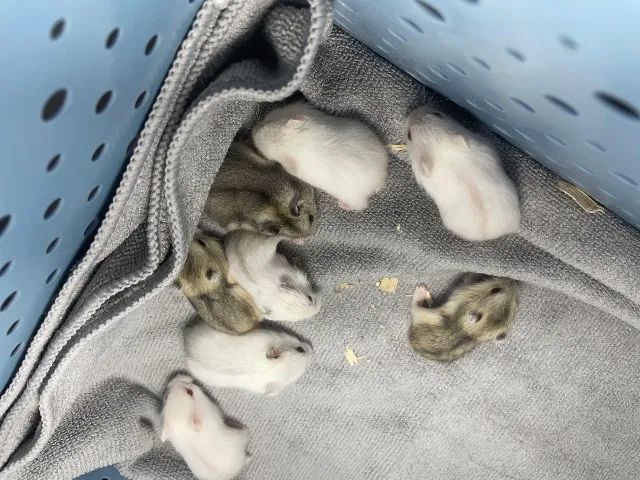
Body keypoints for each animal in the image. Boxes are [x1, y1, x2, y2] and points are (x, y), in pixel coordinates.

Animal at [251, 102, 388, 210]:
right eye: (267, 121)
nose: (252, 132)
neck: (297, 143)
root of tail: (380, 178)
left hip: (353, 197)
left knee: (361, 205)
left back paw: (342, 205)